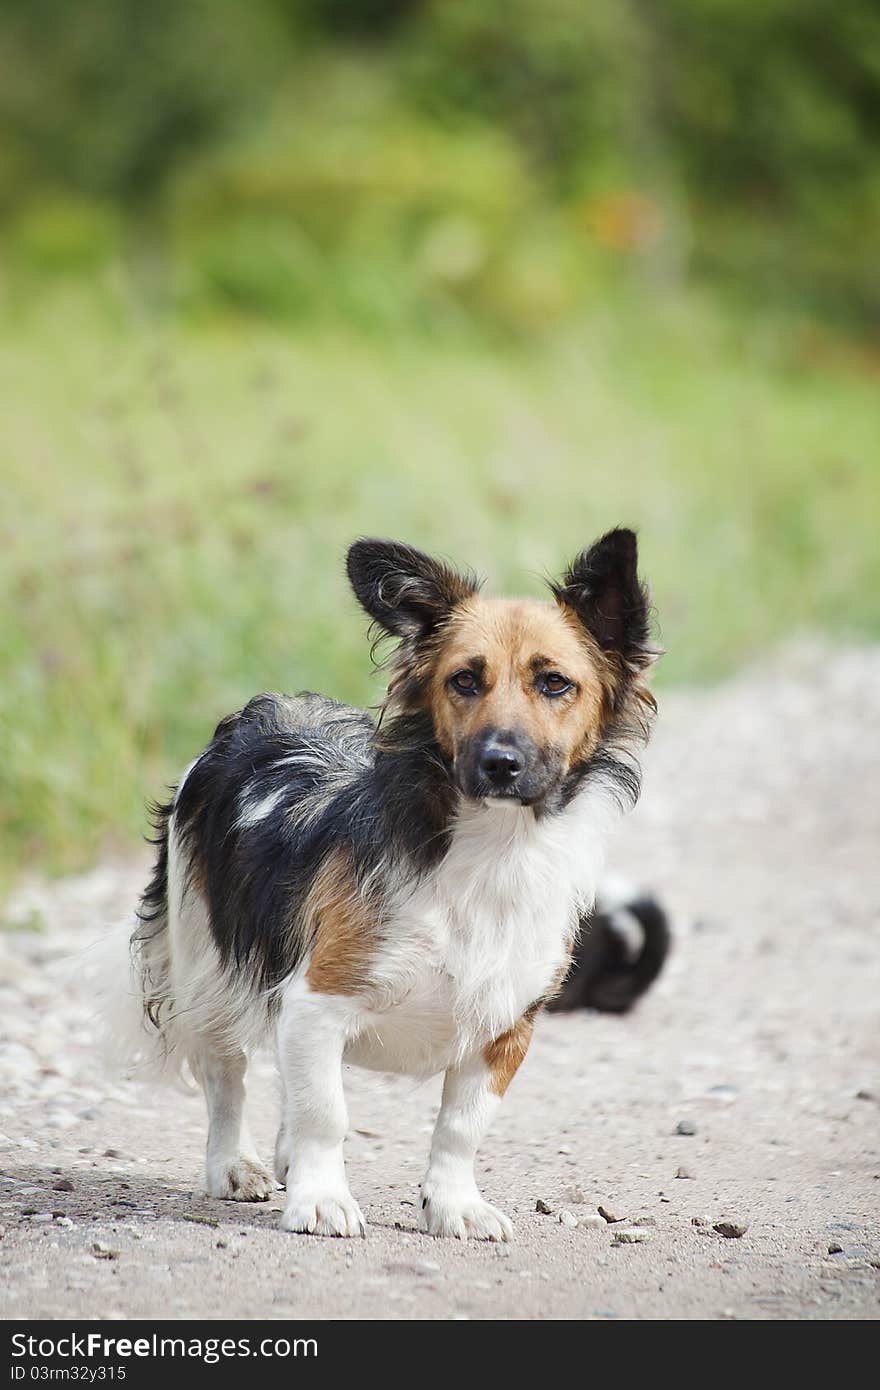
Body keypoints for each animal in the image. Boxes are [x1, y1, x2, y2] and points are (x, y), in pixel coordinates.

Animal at [120, 528, 661, 1239]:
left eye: (554, 683)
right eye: (464, 680)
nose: (501, 762)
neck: (491, 850)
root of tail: (262, 712)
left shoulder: (505, 1028)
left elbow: (460, 1128)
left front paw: (453, 1203)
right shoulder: (319, 997)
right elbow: (327, 1113)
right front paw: (322, 1198)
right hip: (206, 964)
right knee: (225, 1075)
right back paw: (232, 1165)